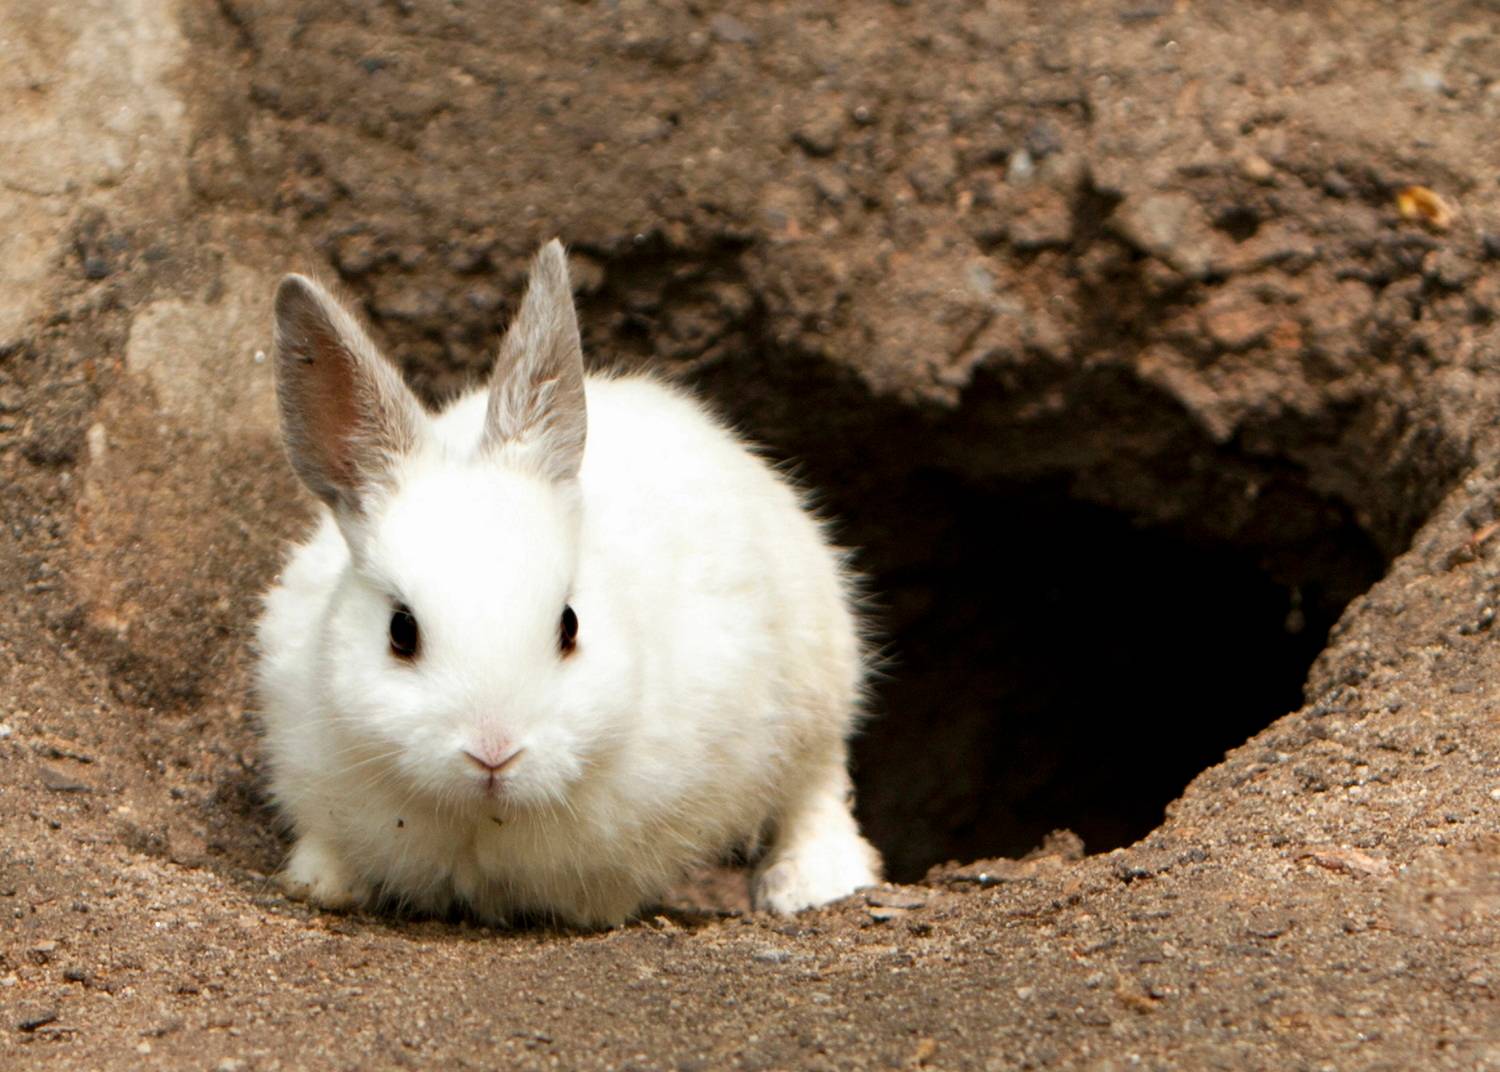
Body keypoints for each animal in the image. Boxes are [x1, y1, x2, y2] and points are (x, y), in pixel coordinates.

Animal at [255, 239, 882, 928]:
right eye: (400, 631)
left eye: (569, 625)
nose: (494, 752)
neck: (483, 817)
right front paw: (320, 885)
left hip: (819, 684)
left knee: (817, 788)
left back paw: (813, 882)